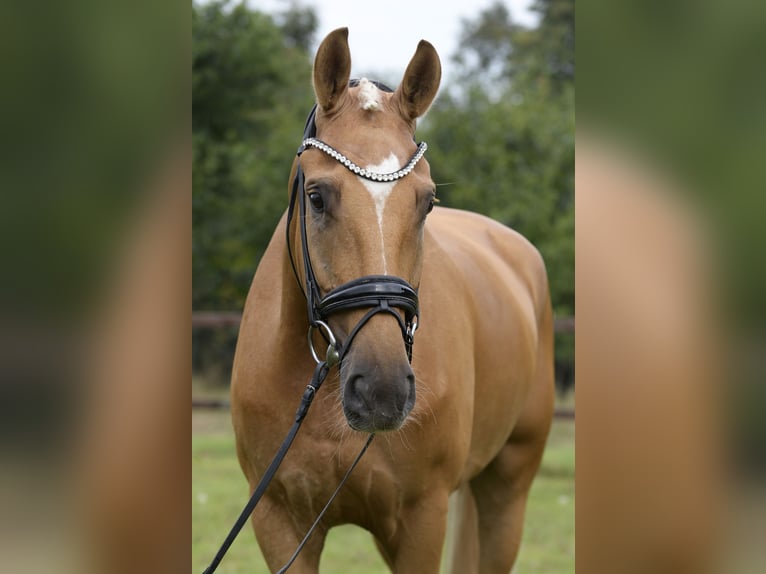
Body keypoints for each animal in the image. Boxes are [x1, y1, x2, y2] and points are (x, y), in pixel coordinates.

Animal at [231, 28, 556, 574]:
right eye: (317, 197)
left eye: (427, 202)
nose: (381, 391)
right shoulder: (279, 522)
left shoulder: (421, 521)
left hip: (507, 489)